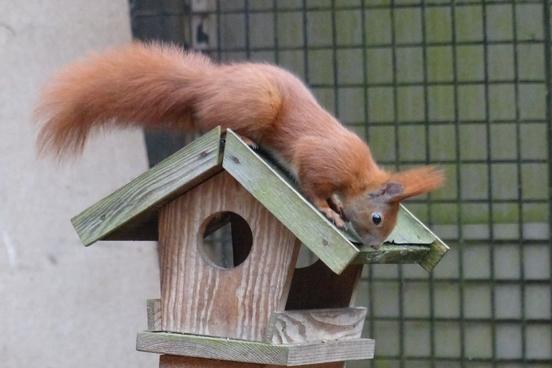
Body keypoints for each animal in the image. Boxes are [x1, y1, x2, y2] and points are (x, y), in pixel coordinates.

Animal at [35, 41, 444, 249]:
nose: (375, 248)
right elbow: (312, 184)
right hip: (257, 104)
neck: (357, 176)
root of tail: (210, 85)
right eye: (377, 218)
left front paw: (337, 208)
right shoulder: (319, 158)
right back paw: (245, 136)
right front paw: (329, 211)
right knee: (217, 120)